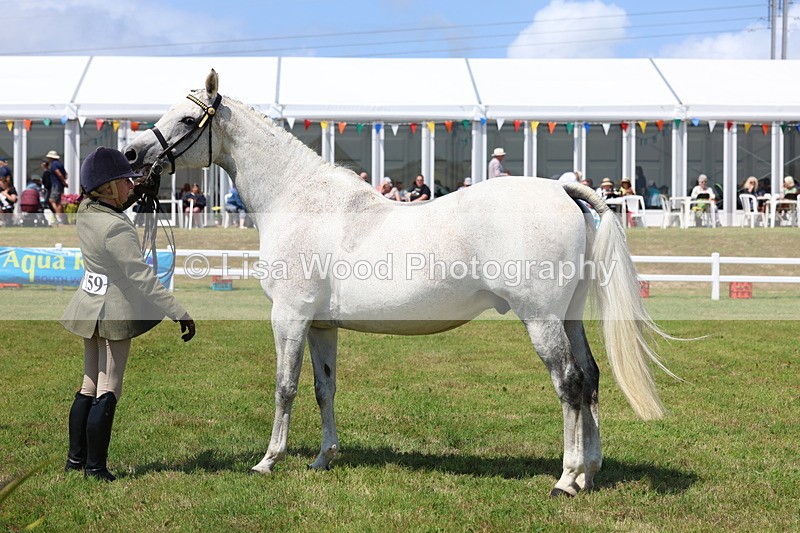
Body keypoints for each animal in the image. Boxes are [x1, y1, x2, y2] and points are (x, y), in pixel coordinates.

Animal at [125, 70, 673, 497]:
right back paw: (590, 474)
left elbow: (285, 387)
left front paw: (267, 461)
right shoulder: (322, 325)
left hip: (541, 320)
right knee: (592, 378)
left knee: (570, 384)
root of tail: (564, 189)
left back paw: (566, 479)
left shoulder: (290, 317)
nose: (131, 154)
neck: (300, 201)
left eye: (185, 119)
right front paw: (323, 458)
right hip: (570, 317)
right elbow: (325, 388)